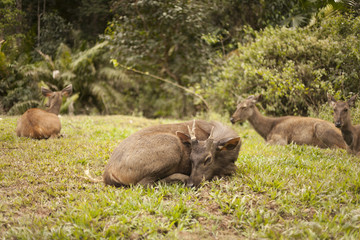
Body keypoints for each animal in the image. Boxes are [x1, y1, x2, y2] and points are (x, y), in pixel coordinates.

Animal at [102, 120, 242, 188]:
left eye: (208, 159)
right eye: (190, 158)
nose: (191, 184)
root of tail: (109, 173)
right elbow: (234, 169)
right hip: (173, 145)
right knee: (143, 184)